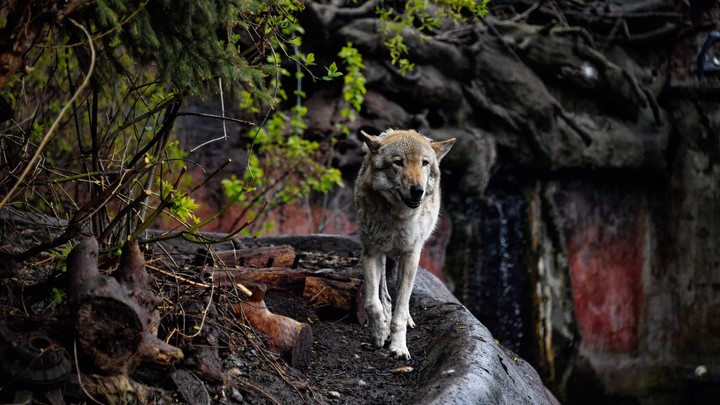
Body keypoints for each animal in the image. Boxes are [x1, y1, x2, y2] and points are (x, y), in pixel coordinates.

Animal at [354, 128, 456, 358]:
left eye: (424, 163)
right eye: (398, 162)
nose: (417, 190)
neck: (397, 218)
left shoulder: (411, 255)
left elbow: (401, 308)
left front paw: (399, 347)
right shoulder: (371, 253)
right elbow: (372, 303)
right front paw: (380, 333)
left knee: (401, 298)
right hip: (383, 257)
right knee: (384, 295)